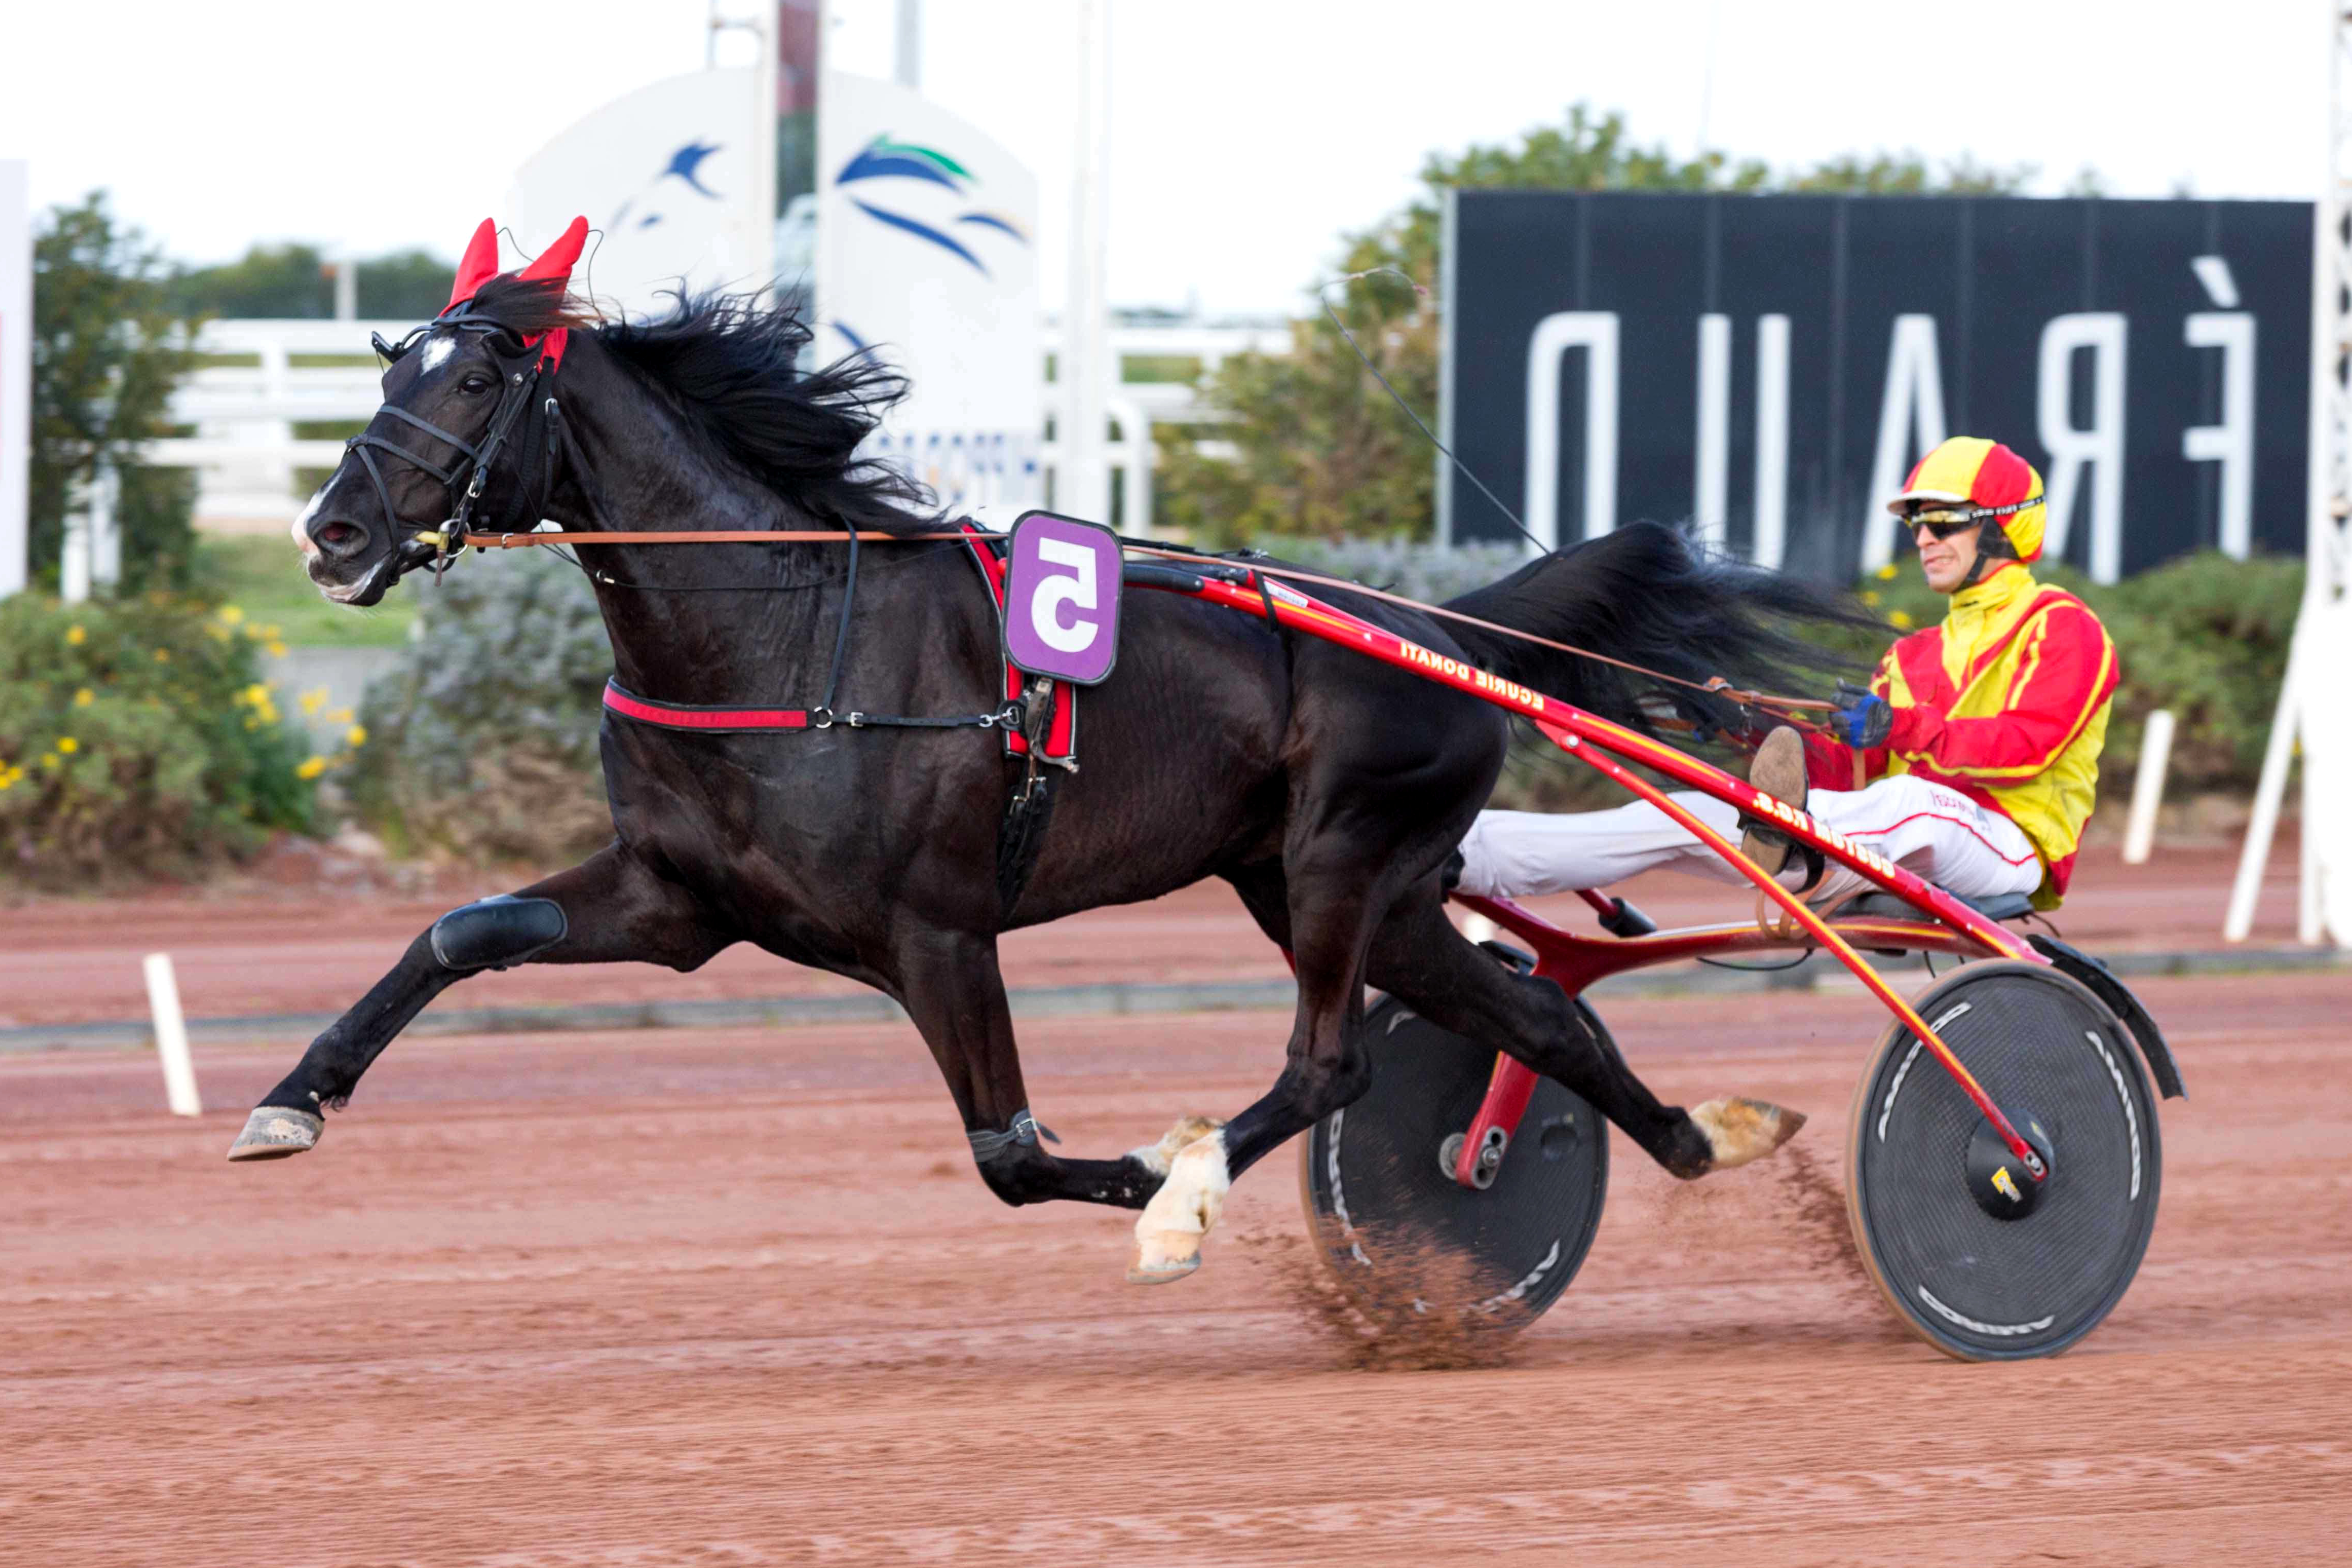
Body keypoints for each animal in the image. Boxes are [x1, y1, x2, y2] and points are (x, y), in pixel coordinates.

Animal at [239, 261, 1853, 1288]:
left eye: (476, 377)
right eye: (393, 363)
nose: (331, 531)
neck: (782, 635)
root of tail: (1446, 633)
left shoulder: (937, 933)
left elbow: (1010, 1152)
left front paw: (1155, 1181)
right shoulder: (680, 900)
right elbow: (463, 930)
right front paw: (291, 1100)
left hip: (1342, 861)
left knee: (1332, 1060)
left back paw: (1186, 1193)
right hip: (1342, 885)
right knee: (1531, 1015)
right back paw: (1700, 1134)